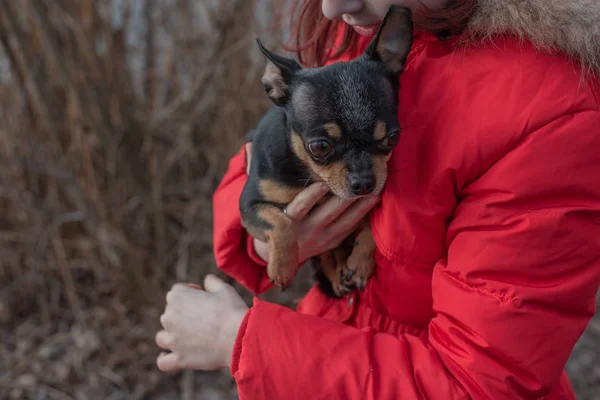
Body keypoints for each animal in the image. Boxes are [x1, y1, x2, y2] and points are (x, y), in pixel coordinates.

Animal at [239, 3, 412, 296]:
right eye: (320, 146)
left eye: (392, 138)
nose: (364, 183)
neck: (311, 172)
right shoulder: (249, 205)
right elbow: (281, 222)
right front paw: (283, 267)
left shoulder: (368, 201)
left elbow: (372, 228)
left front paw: (361, 262)